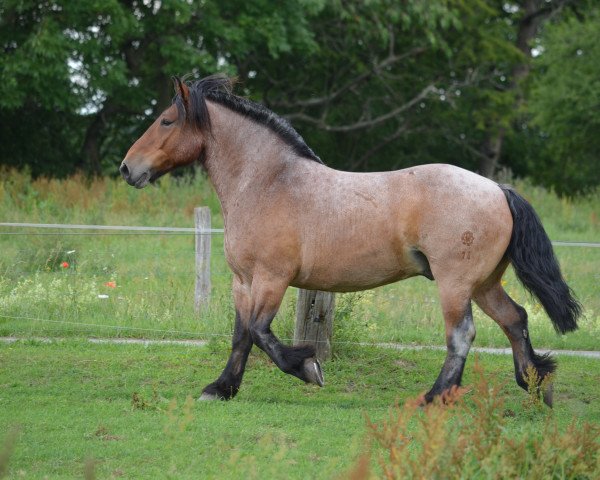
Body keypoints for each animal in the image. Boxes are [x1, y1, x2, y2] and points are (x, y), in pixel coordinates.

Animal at [119, 75, 580, 404]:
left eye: (166, 120)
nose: (127, 168)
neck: (268, 183)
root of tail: (497, 189)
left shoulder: (271, 278)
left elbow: (261, 332)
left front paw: (308, 368)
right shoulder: (243, 282)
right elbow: (241, 335)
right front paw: (221, 388)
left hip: (456, 284)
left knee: (462, 336)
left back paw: (435, 397)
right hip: (484, 284)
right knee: (515, 319)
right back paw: (535, 383)